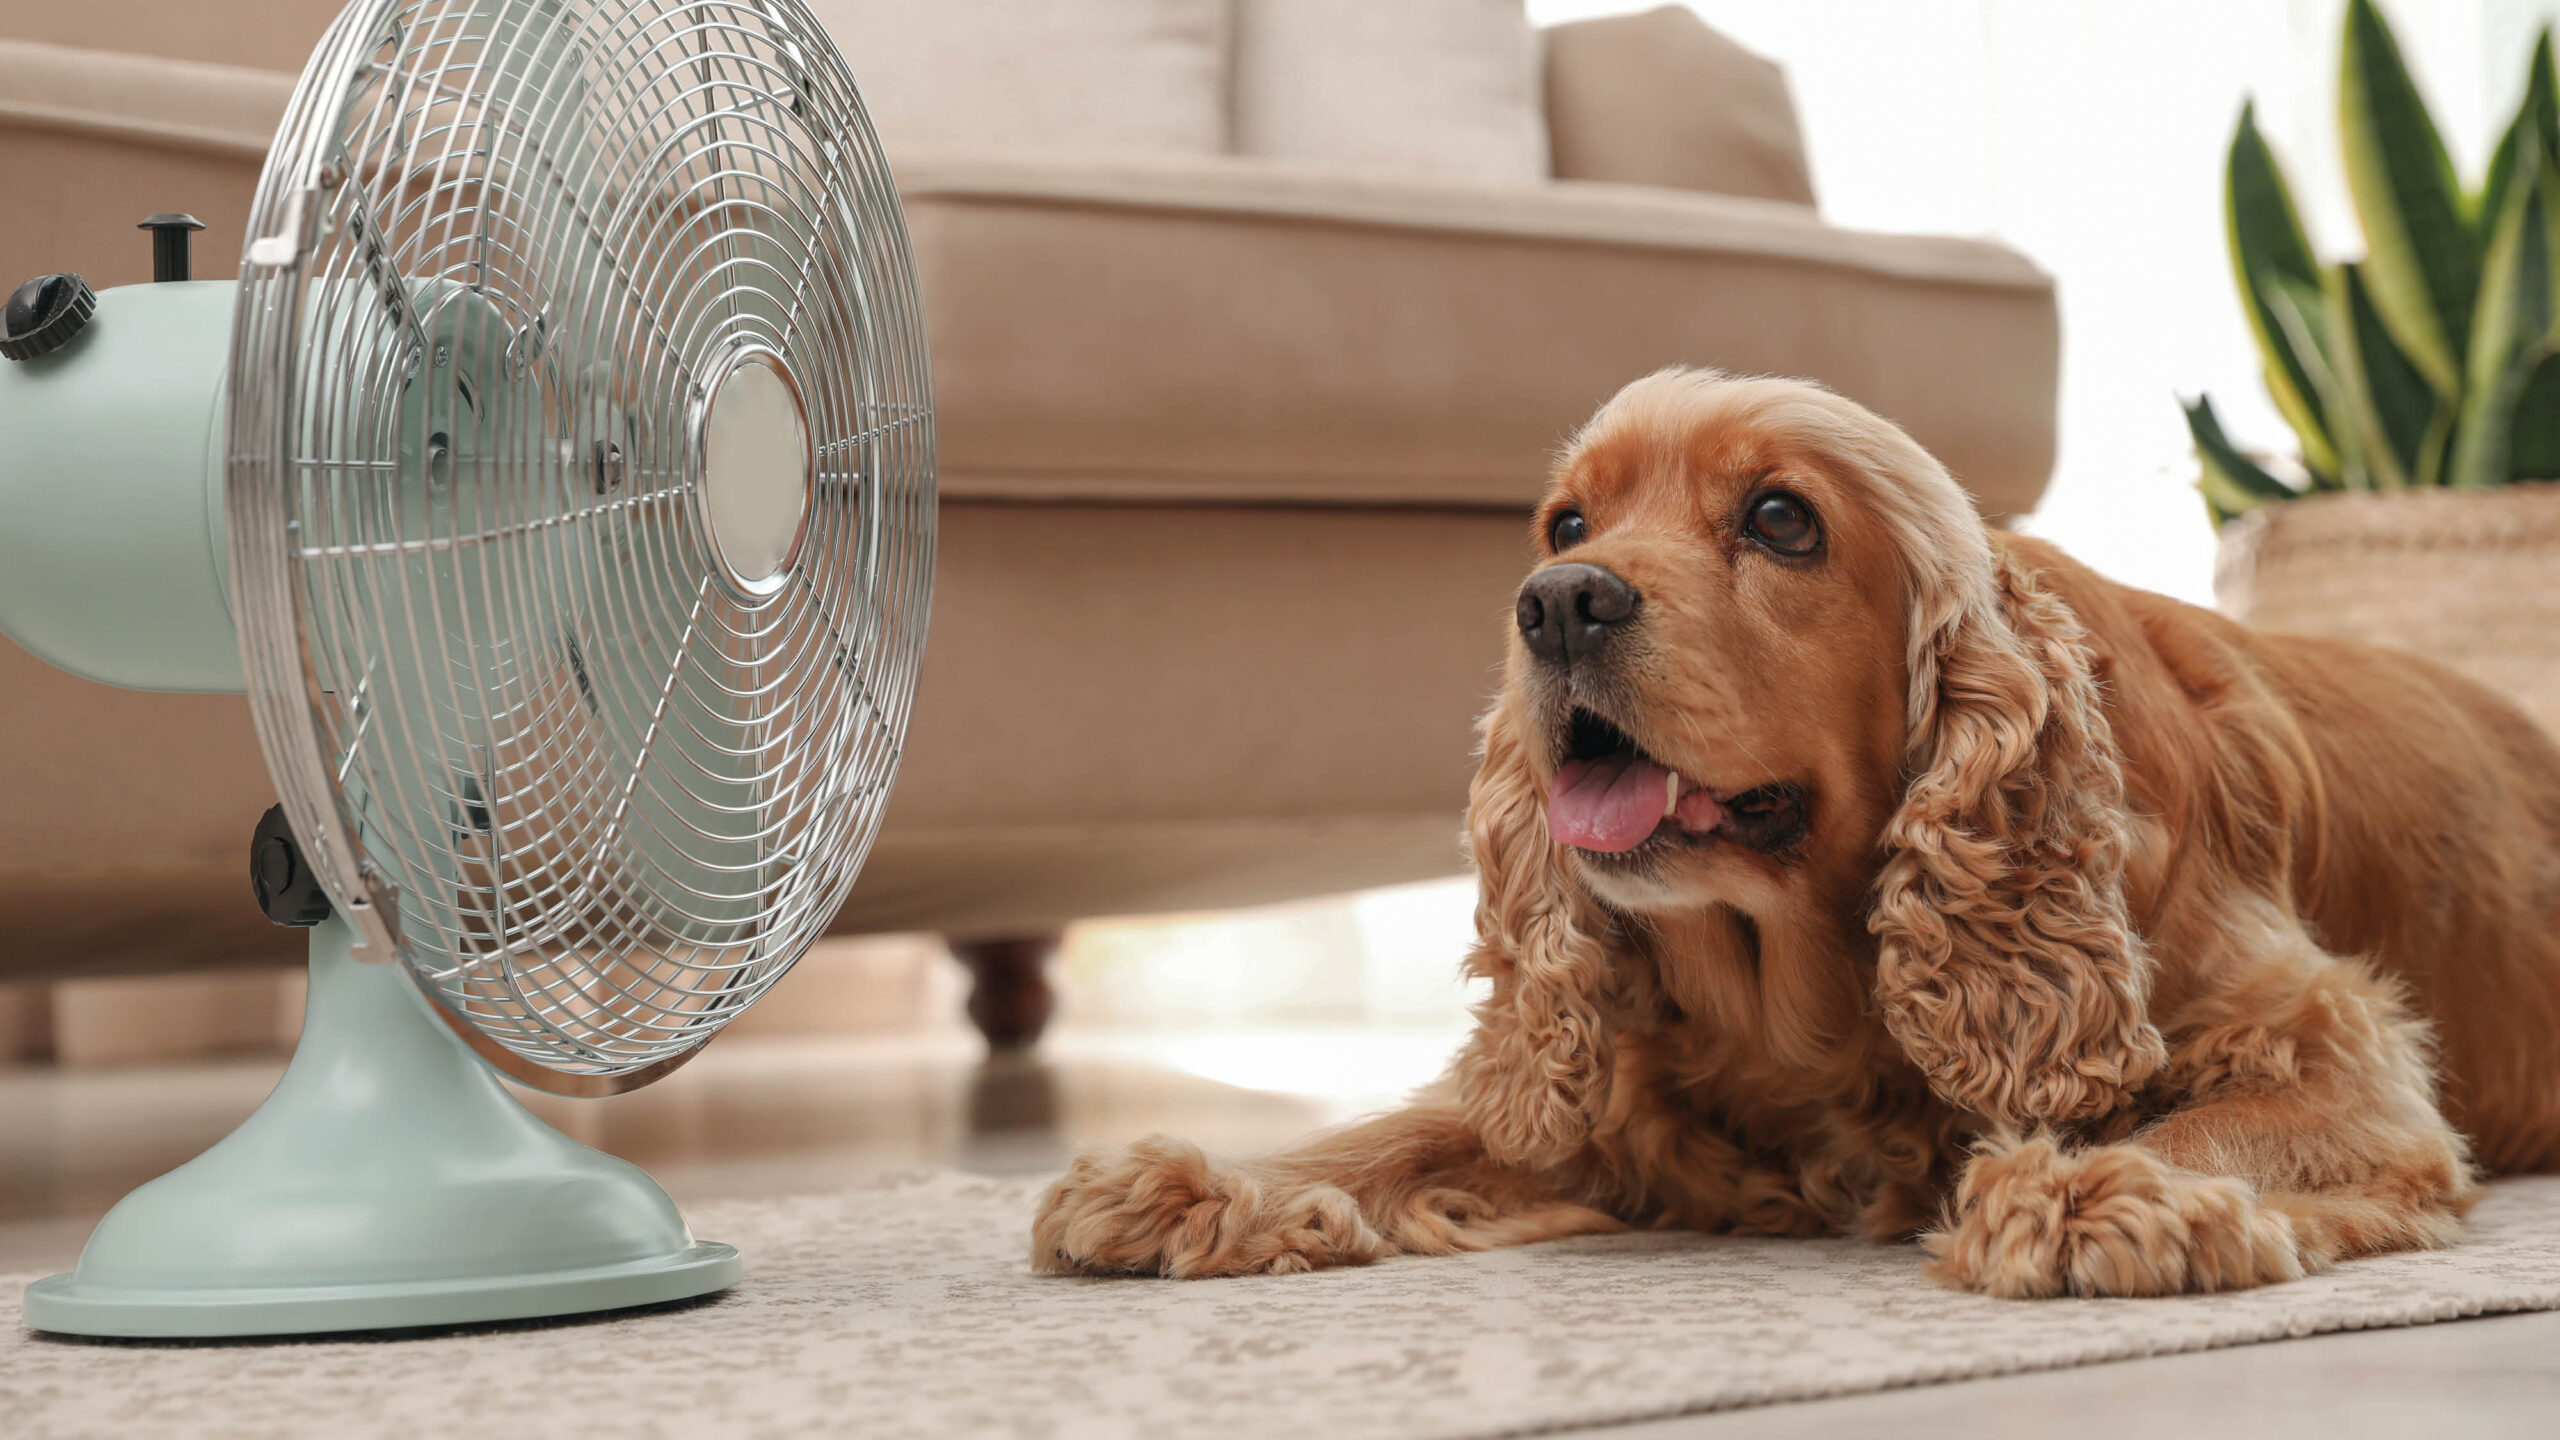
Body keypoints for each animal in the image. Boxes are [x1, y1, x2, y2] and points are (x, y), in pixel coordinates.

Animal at [1024, 366, 2560, 1291]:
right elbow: (1396, 1136)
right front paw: (1206, 1178)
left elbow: (2224, 1120)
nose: (1557, 604)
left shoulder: (2328, 1041)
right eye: (1563, 523)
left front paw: (2095, 1190)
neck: (1808, 999)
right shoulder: (1607, 1095)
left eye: (1780, 519)